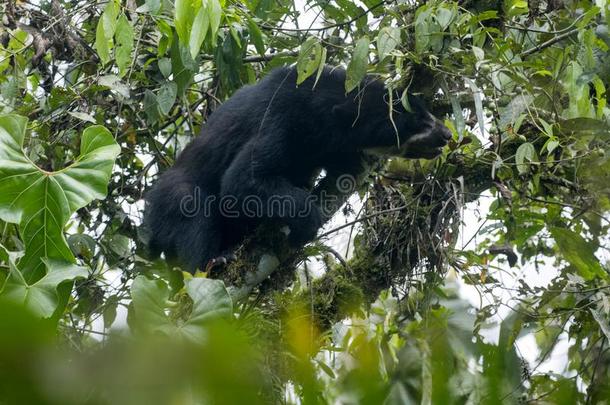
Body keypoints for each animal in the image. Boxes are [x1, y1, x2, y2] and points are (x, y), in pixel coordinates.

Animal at [141, 65, 446, 272]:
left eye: (426, 111)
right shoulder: (281, 118)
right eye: (417, 121)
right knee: (194, 213)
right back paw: (215, 260)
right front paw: (307, 222)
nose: (446, 135)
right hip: (172, 198)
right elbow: (243, 181)